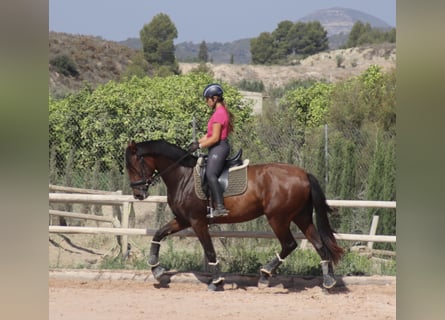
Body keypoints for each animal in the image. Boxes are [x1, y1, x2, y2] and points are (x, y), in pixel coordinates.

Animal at [125, 139, 344, 292]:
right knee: (318, 244)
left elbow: (209, 251)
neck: (183, 176)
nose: (138, 195)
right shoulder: (183, 219)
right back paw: (329, 281)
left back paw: (265, 275)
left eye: (132, 166)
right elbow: (159, 234)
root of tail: (304, 174)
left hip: (278, 218)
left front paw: (216, 281)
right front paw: (156, 268)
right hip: (301, 217)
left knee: (289, 244)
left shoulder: (197, 221)